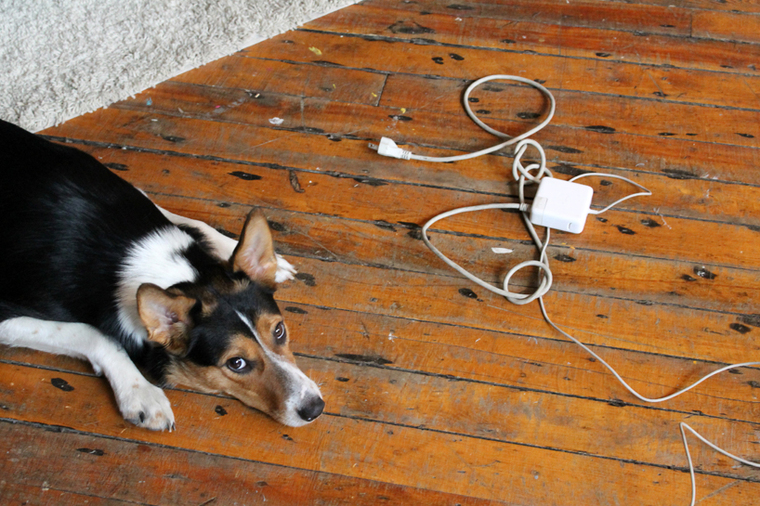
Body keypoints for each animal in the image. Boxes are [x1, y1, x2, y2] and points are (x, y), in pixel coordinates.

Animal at [0, 119, 324, 430]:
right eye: (237, 364)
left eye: (279, 331)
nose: (315, 409)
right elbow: (94, 334)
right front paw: (141, 392)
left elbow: (192, 222)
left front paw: (259, 256)